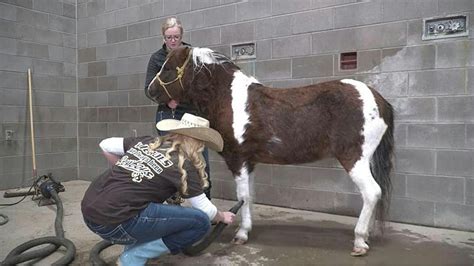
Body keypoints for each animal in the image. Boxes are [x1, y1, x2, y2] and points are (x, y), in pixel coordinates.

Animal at [146, 46, 394, 256]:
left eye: (167, 68)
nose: (150, 90)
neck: (228, 99)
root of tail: (378, 100)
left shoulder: (238, 160)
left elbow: (243, 197)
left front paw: (241, 234)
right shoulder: (250, 162)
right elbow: (250, 196)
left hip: (354, 158)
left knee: (372, 192)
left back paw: (360, 241)